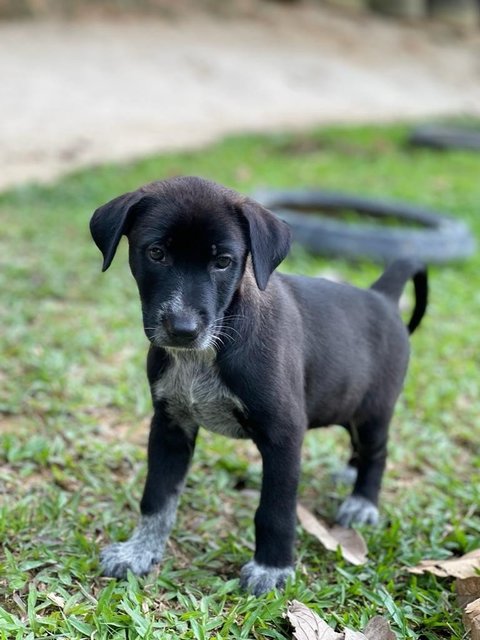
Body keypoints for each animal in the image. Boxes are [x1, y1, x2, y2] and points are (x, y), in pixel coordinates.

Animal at [90, 175, 428, 596]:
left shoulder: (284, 435)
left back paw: (362, 502)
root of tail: (381, 296)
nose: (183, 330)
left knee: (377, 454)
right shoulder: (170, 425)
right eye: (156, 253)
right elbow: (157, 498)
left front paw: (272, 568)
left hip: (374, 412)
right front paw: (139, 551)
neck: (211, 348)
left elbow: (275, 511)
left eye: (223, 262)